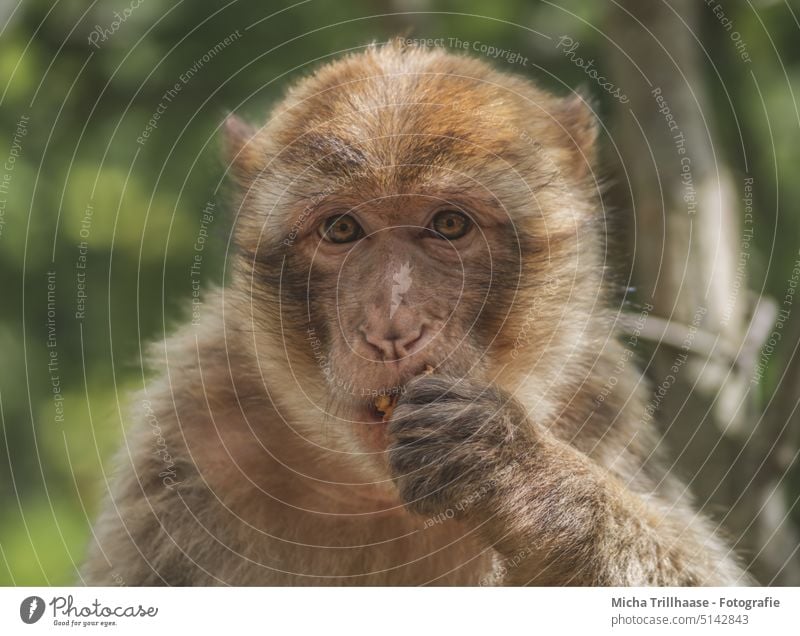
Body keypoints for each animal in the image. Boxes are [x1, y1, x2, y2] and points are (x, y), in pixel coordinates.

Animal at [84, 39, 752, 588]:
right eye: (342, 229)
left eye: (449, 224)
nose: (391, 329)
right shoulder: (191, 431)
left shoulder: (600, 404)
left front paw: (517, 469)